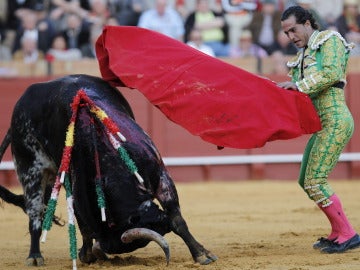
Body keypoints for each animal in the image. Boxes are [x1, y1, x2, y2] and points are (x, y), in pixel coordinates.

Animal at [0, 73, 217, 266]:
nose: (85, 255)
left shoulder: (161, 176)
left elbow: (177, 219)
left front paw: (202, 255)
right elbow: (84, 226)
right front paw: (87, 254)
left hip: (50, 175)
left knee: (43, 207)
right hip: (30, 169)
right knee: (35, 213)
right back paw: (34, 256)